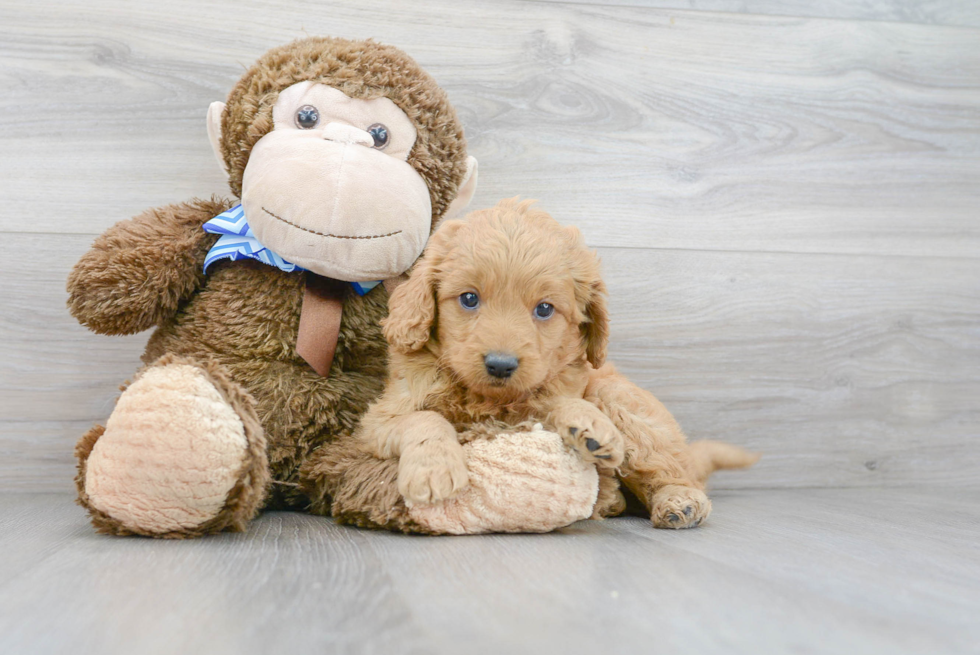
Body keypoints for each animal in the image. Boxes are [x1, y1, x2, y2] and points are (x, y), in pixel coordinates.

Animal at [352, 199, 756, 528]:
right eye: (468, 299)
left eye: (544, 309)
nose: (501, 365)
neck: (488, 401)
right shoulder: (380, 419)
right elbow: (425, 419)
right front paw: (435, 467)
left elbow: (561, 402)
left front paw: (593, 426)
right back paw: (613, 499)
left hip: (626, 405)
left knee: (670, 470)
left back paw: (678, 500)